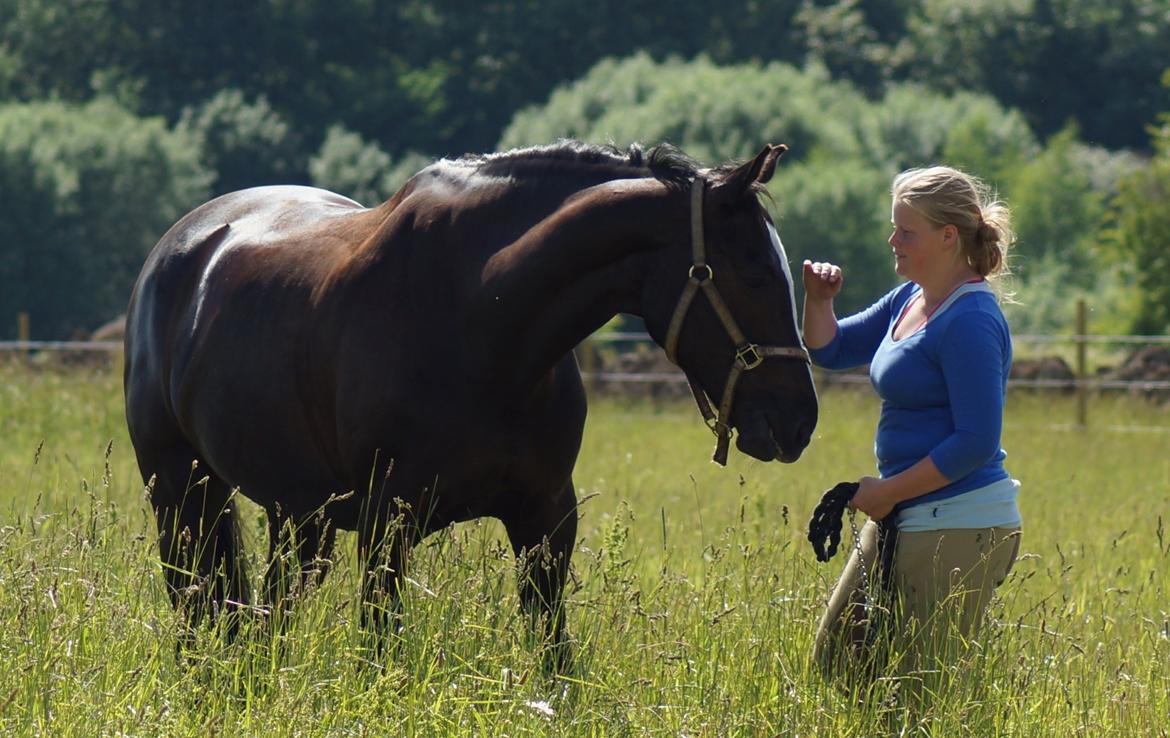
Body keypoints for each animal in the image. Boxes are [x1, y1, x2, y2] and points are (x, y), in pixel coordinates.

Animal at [123, 139, 819, 668]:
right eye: (755, 271)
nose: (798, 421)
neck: (482, 322)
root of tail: (185, 246)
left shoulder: (546, 519)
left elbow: (554, 658)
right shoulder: (386, 524)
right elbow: (380, 652)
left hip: (298, 516)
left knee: (265, 620)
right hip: (181, 494)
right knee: (197, 610)